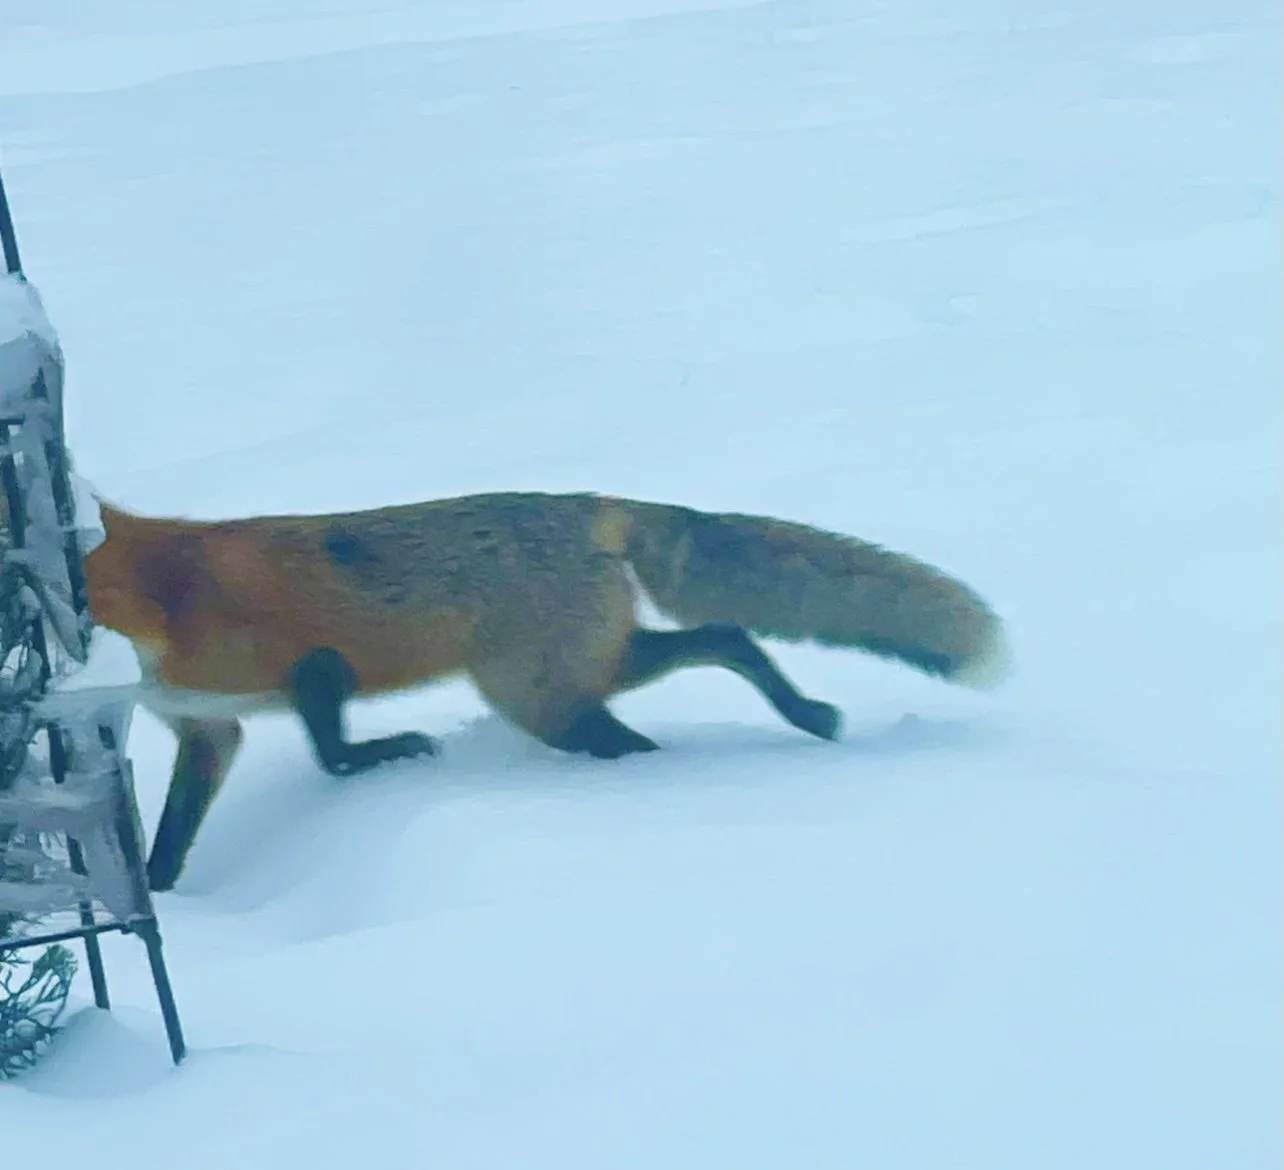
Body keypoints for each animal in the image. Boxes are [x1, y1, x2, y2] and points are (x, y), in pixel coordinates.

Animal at [76, 490, 1009, 891]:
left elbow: (336, 754)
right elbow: (168, 848)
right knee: (726, 635)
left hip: (540, 699)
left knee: (651, 721)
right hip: (589, 671)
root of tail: (585, 502)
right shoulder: (208, 730)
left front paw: (398, 752)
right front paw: (166, 903)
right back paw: (804, 716)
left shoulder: (314, 667)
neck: (154, 597)